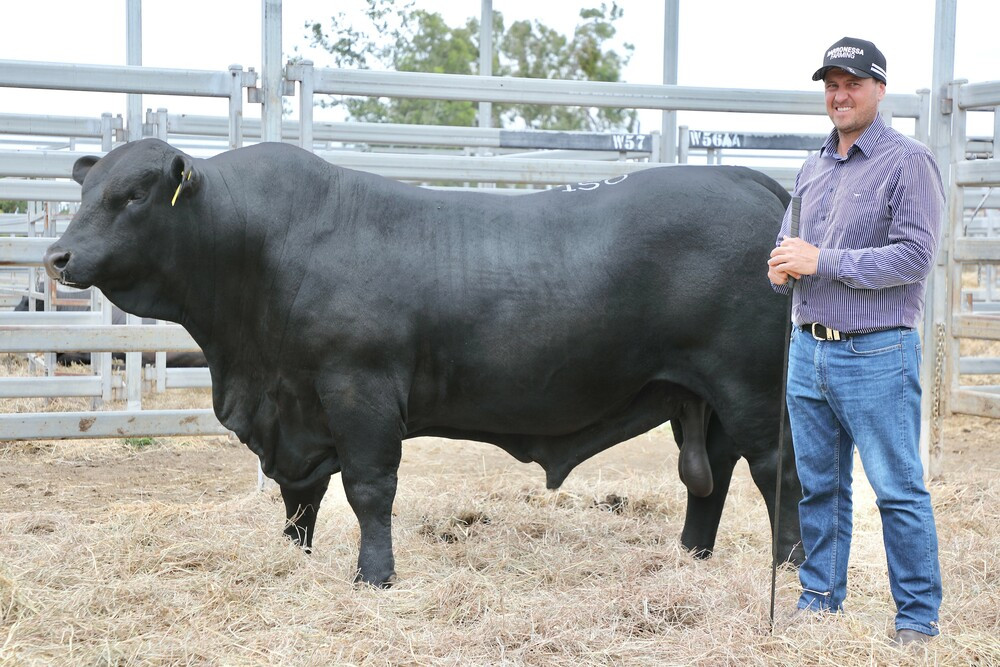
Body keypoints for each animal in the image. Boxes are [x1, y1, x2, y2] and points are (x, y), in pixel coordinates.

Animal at [45, 138, 804, 588]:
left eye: (133, 195)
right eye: (84, 192)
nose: (57, 256)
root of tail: (743, 180)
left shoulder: (360, 389)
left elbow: (368, 490)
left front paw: (373, 578)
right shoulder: (295, 411)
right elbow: (299, 498)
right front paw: (295, 561)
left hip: (755, 391)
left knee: (781, 474)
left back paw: (793, 567)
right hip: (699, 398)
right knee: (709, 479)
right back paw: (689, 559)